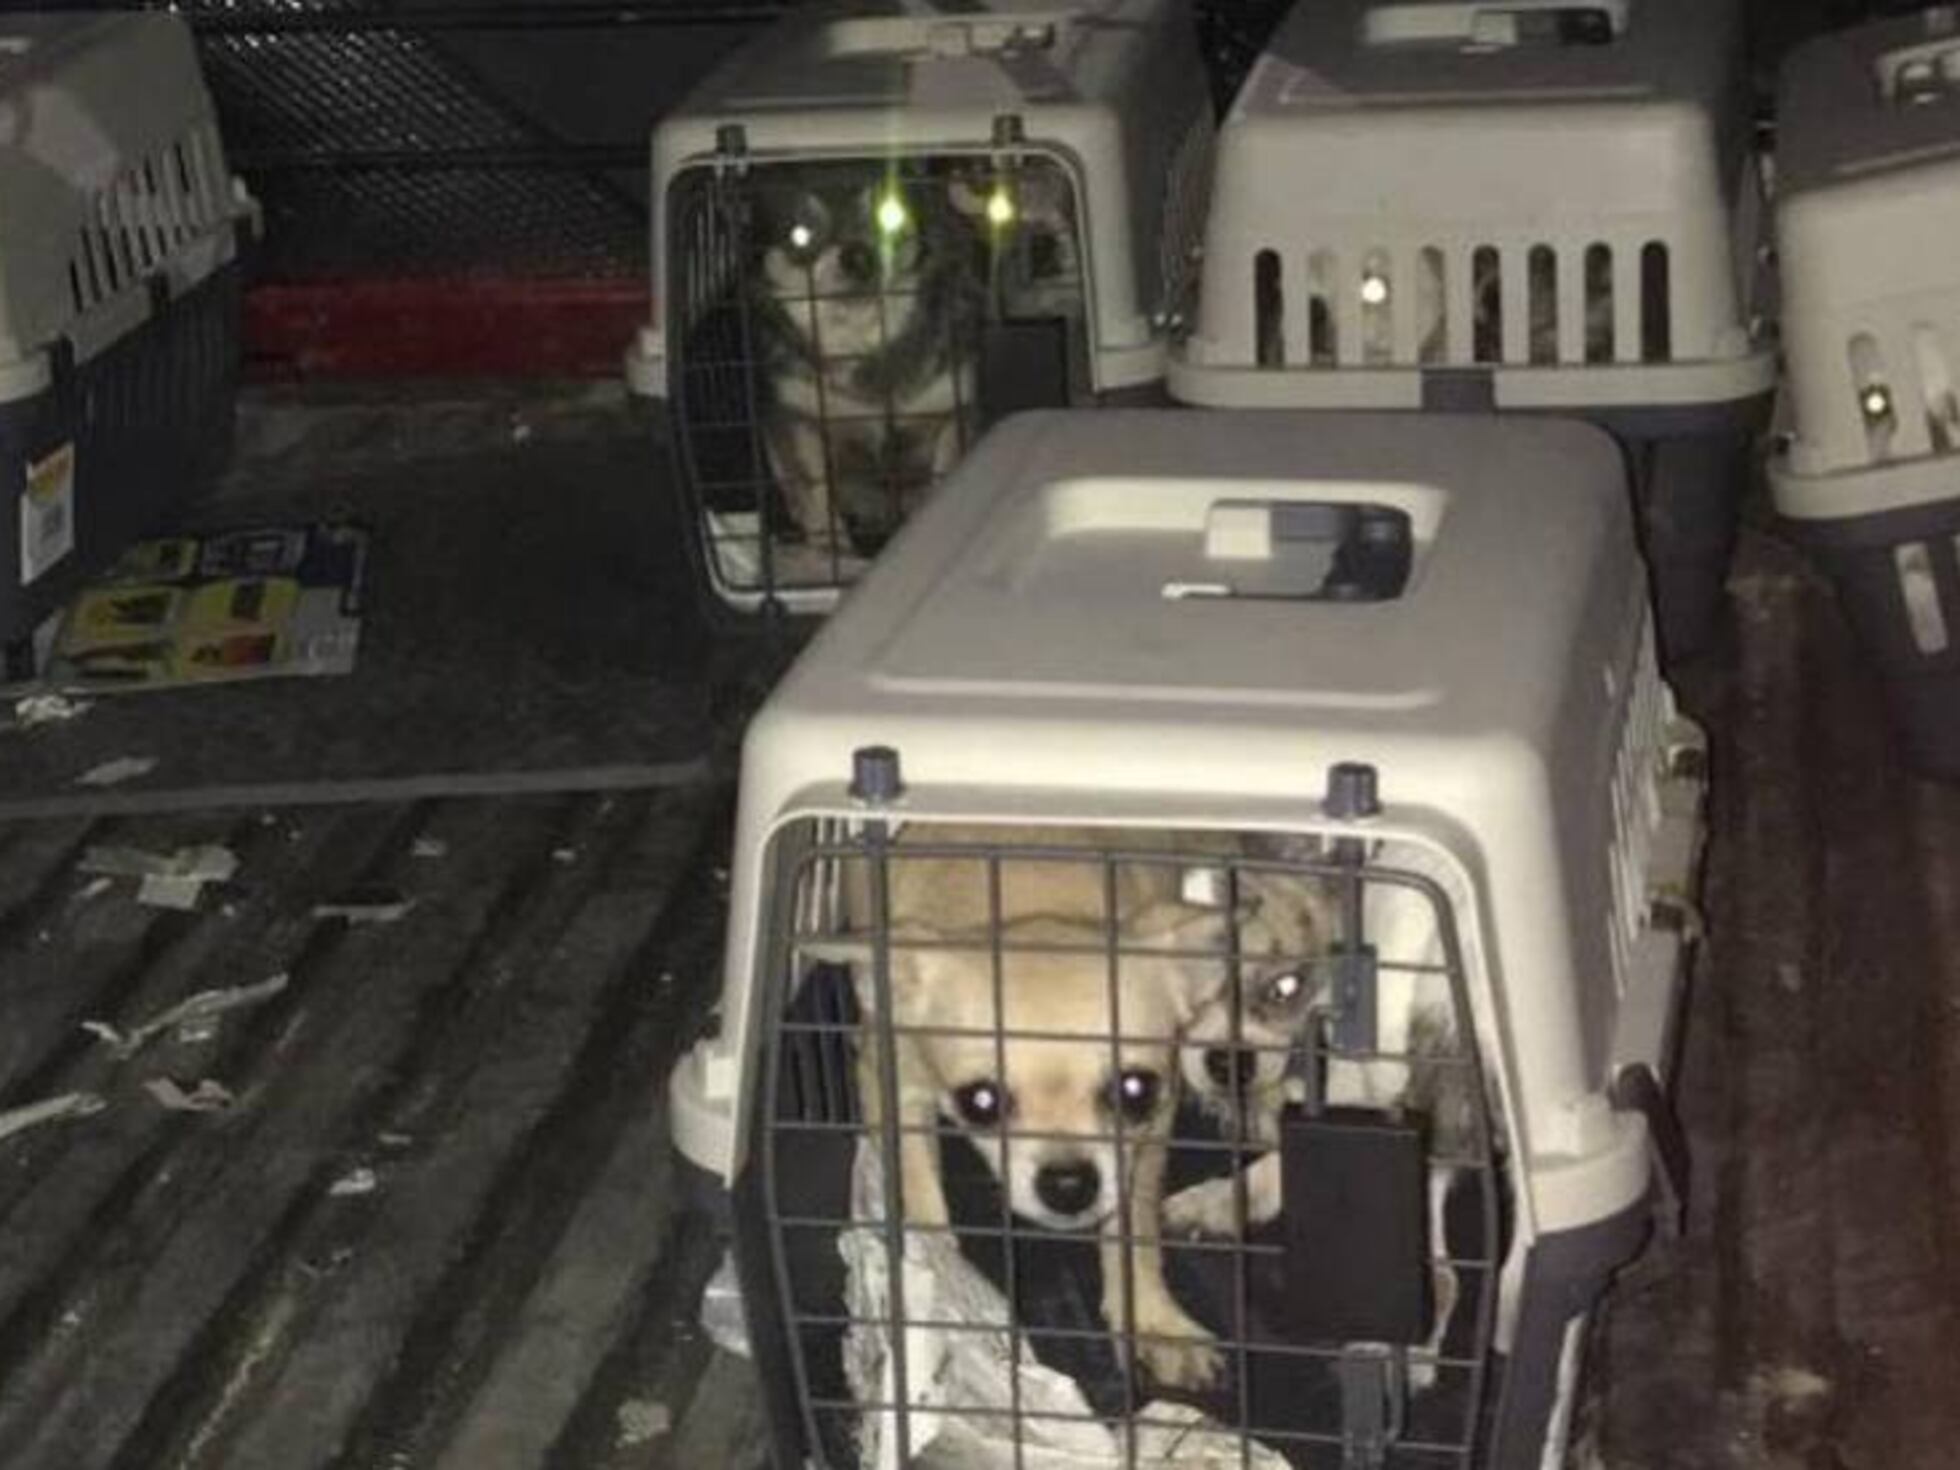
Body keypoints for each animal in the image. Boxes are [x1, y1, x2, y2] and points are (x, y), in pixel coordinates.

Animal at [751, 173, 983, 558]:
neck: (862, 347)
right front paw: (831, 546)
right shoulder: (800, 420)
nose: (857, 255)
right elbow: (816, 491)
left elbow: (945, 473)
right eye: (801, 235)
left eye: (891, 215)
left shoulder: (951, 412)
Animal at [809, 824, 1234, 1391]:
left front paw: (1153, 1322)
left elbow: (1133, 1228)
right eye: (980, 1102)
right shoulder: (893, 1086)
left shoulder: (1148, 1136)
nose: (1068, 1183)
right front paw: (947, 1287)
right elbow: (925, 1203)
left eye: (1136, 1091)